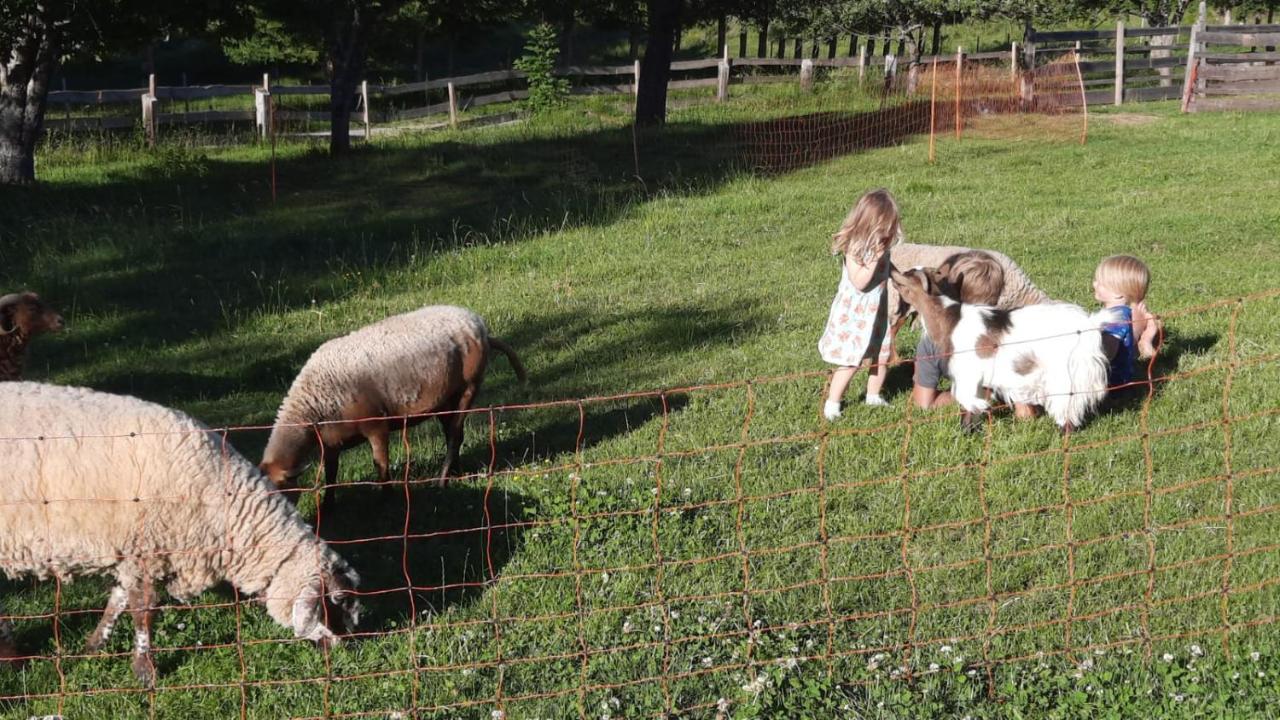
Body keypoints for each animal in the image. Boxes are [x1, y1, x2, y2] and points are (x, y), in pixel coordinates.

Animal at [1, 379, 360, 681]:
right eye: (339, 600)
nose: (351, 647)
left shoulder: (137, 552)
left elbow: (118, 599)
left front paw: (95, 644)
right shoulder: (149, 547)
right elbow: (144, 611)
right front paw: (146, 672)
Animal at [259, 304, 524, 512]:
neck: (311, 402)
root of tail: (479, 325)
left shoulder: (376, 425)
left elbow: (380, 463)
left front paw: (386, 498)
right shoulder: (331, 441)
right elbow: (331, 473)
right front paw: (328, 505)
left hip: (469, 386)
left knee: (454, 436)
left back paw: (442, 481)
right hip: (444, 399)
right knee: (454, 433)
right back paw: (455, 472)